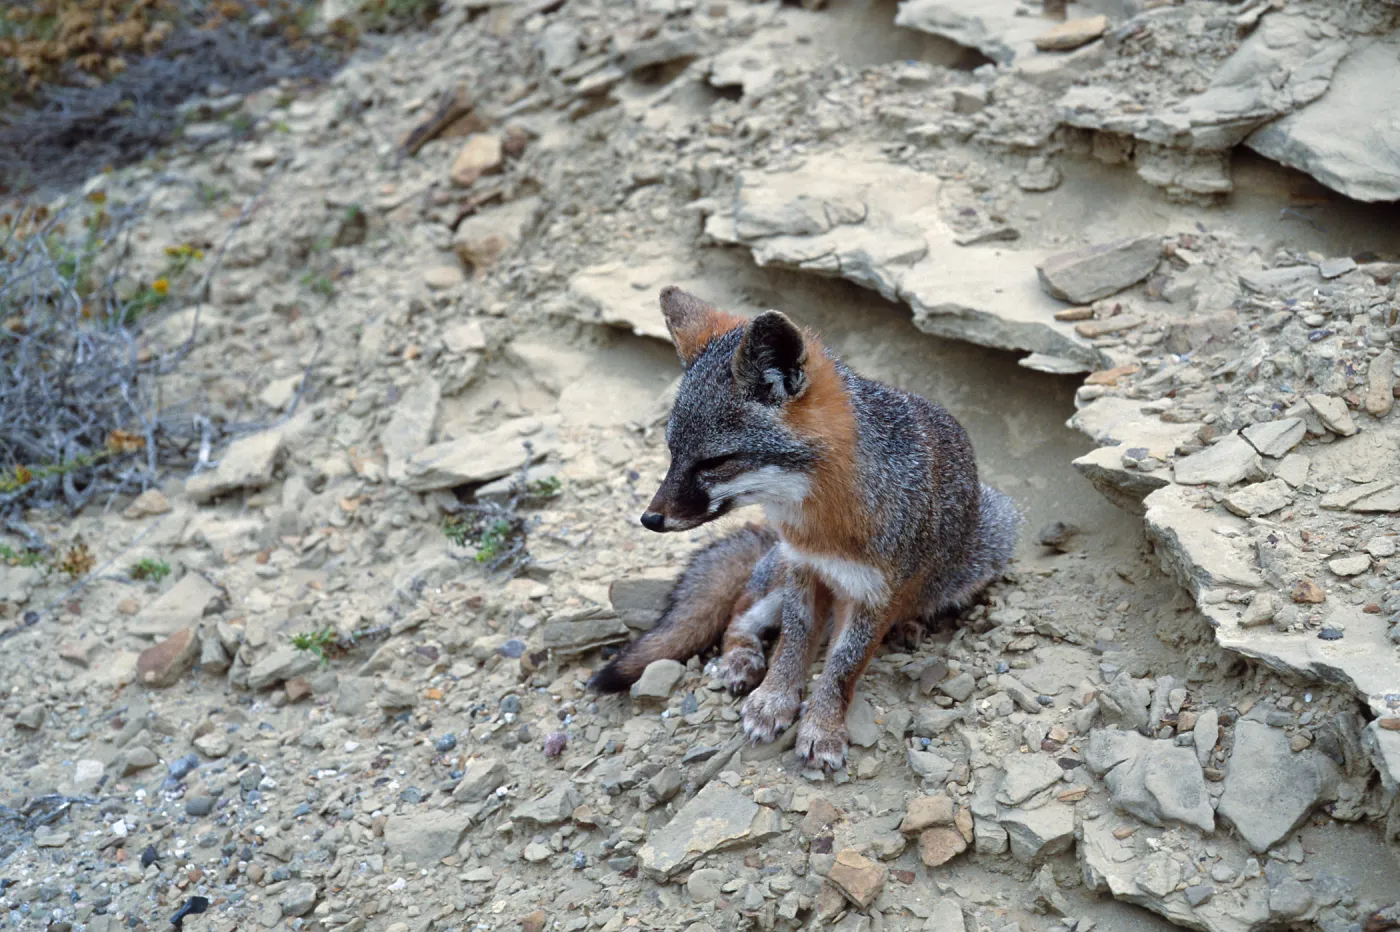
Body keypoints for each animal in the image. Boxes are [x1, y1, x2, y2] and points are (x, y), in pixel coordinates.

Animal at [589, 287, 1022, 770]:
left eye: (714, 462)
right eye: (672, 453)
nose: (650, 519)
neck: (822, 527)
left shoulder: (875, 596)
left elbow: (842, 668)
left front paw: (822, 728)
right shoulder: (803, 569)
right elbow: (792, 644)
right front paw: (775, 700)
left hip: (995, 535)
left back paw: (908, 625)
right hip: (777, 577)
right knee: (739, 612)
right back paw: (741, 659)